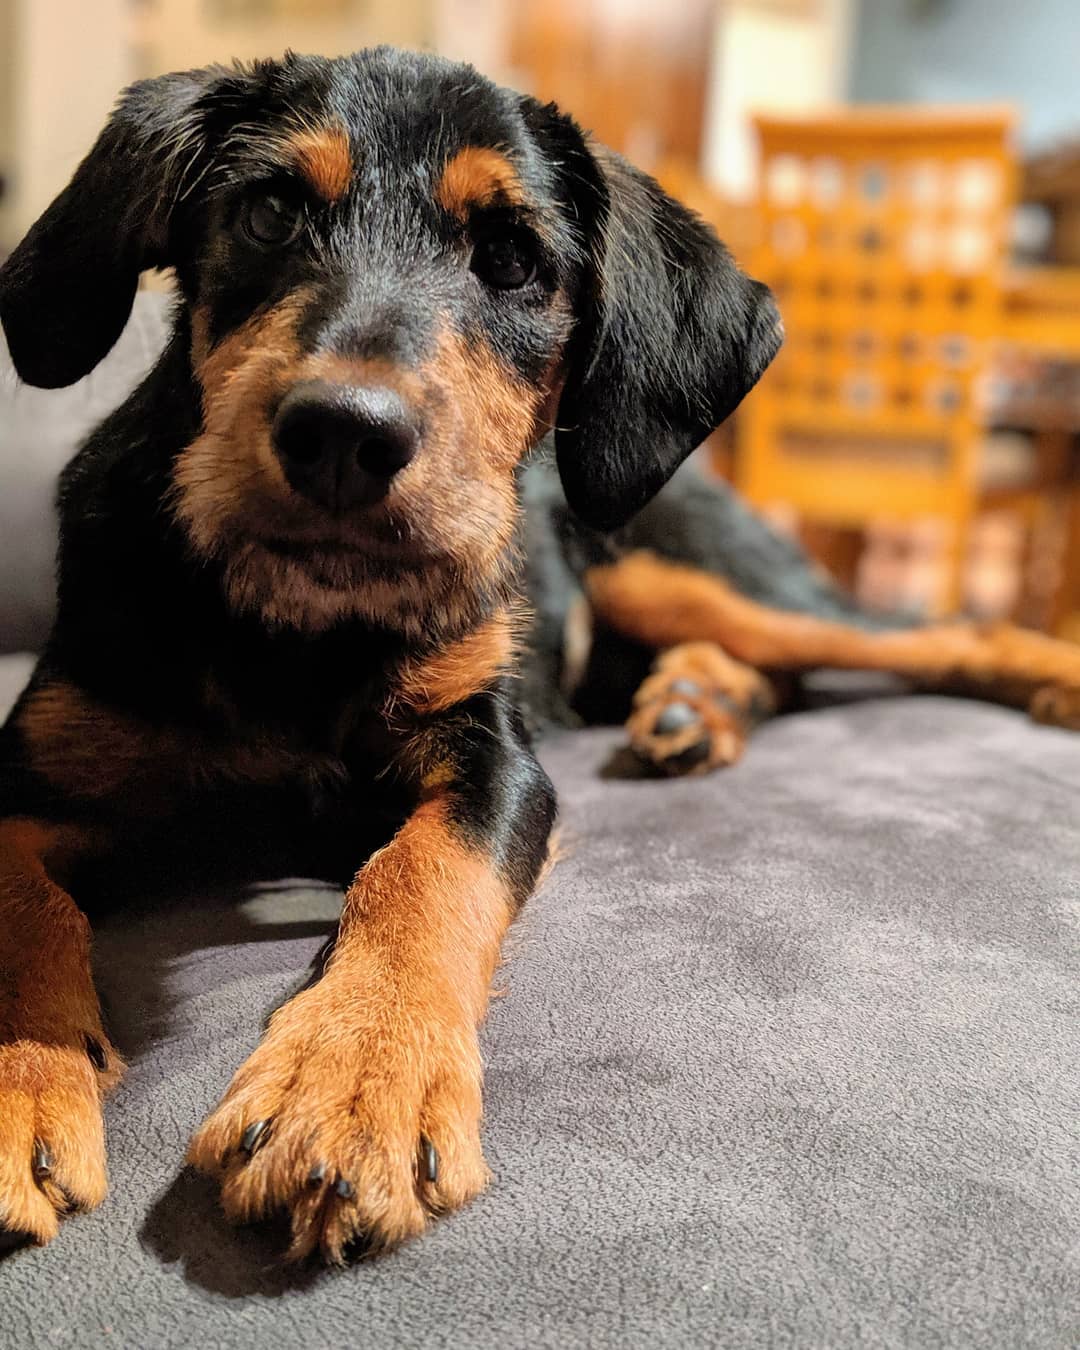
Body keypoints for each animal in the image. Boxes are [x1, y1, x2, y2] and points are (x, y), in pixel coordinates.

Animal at [1, 48, 1078, 1263]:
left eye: (514, 258)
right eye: (269, 211)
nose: (343, 436)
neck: (303, 630)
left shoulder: (499, 755)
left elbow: (422, 870)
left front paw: (352, 1086)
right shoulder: (36, 763)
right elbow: (18, 897)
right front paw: (25, 1079)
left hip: (671, 565)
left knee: (910, 635)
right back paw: (692, 706)